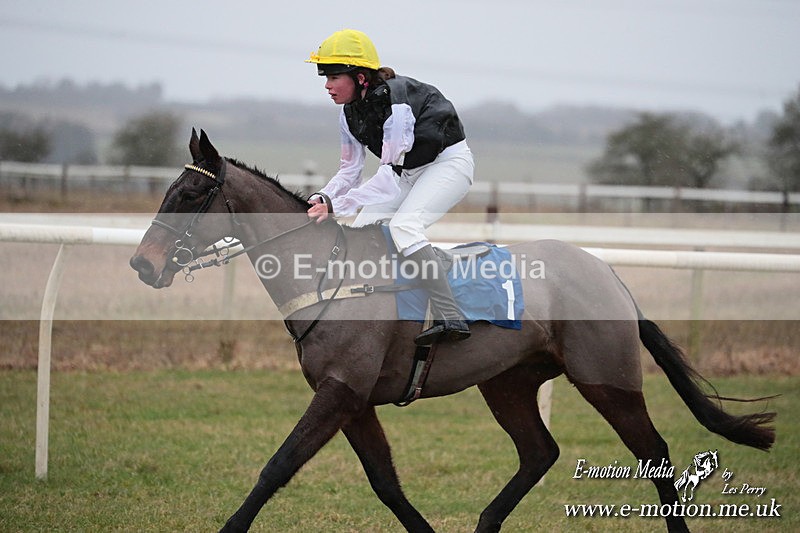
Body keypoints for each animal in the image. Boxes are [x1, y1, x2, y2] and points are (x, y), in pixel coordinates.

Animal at [130, 129, 775, 533]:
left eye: (191, 193)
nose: (142, 264)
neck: (329, 273)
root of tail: (610, 275)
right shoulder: (352, 400)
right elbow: (386, 483)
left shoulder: (339, 392)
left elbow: (277, 467)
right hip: (508, 383)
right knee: (539, 452)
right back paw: (487, 522)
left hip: (606, 379)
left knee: (655, 455)